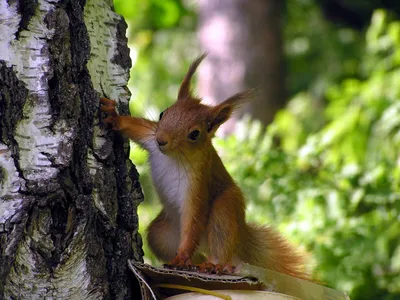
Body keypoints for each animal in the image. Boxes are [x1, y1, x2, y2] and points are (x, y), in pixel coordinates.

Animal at [100, 54, 310, 278]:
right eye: (163, 113)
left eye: (194, 134)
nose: (161, 140)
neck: (173, 156)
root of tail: (241, 238)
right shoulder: (150, 136)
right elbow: (135, 127)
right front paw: (113, 117)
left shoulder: (198, 181)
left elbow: (194, 218)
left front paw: (182, 256)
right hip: (161, 234)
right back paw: (193, 263)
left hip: (225, 210)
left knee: (221, 245)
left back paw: (214, 265)